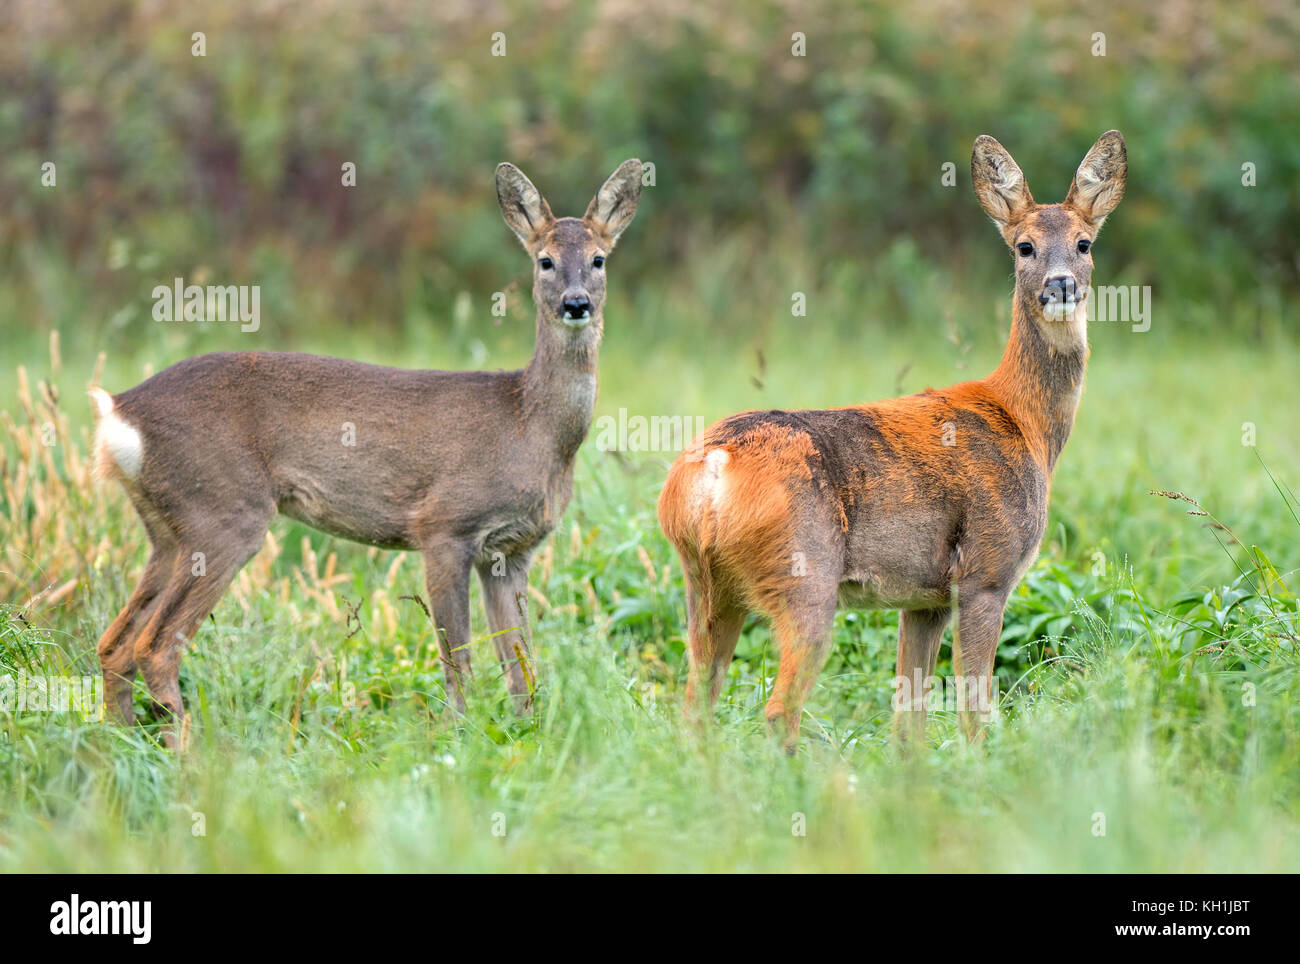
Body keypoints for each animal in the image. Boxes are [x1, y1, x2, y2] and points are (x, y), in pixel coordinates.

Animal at [90, 158, 639, 753]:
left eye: (599, 259)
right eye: (544, 260)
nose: (576, 304)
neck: (529, 425)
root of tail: (119, 411)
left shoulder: (513, 551)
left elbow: (521, 666)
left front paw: (526, 738)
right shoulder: (444, 526)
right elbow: (459, 660)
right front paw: (458, 740)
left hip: (168, 529)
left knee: (114, 643)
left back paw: (117, 746)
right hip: (223, 511)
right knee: (154, 644)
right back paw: (189, 756)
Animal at [660, 131, 1128, 753]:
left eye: (1084, 242)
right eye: (1024, 246)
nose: (1060, 284)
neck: (1023, 423)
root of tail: (713, 465)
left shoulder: (923, 599)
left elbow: (908, 720)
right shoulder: (987, 571)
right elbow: (973, 711)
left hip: (706, 581)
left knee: (695, 705)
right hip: (805, 574)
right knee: (779, 708)